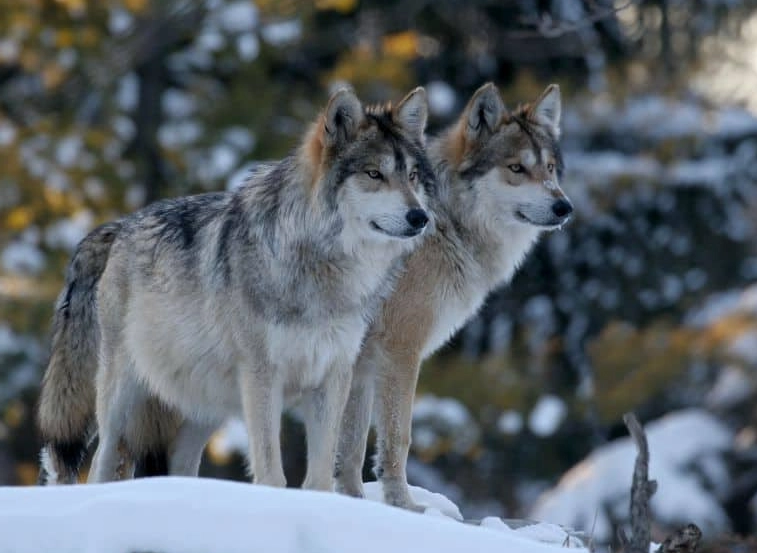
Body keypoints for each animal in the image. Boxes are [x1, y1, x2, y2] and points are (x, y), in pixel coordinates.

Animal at [36, 86, 435, 490]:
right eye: (374, 174)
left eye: (413, 175)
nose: (420, 217)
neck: (324, 268)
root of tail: (119, 226)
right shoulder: (262, 375)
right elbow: (272, 473)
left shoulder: (333, 376)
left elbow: (320, 477)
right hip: (123, 394)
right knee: (101, 461)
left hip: (204, 408)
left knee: (178, 465)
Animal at [333, 83, 573, 511]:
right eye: (516, 168)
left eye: (549, 168)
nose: (564, 206)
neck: (447, 225)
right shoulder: (400, 350)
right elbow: (398, 437)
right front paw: (404, 507)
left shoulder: (361, 361)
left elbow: (350, 447)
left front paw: (353, 503)